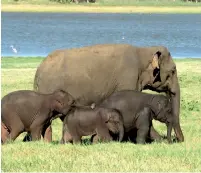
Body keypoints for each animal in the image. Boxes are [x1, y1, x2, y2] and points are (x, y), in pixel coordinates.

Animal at [32, 44, 184, 143]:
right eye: (173, 71)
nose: (179, 140)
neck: (143, 50)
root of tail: (38, 70)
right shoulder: (128, 78)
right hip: (48, 89)